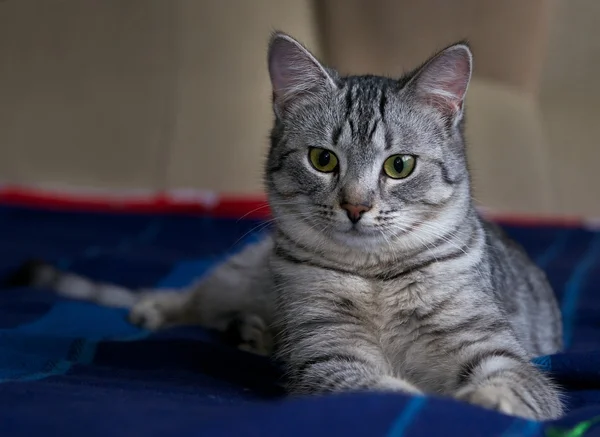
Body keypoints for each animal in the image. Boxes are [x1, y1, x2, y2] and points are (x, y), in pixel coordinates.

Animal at [8, 31, 564, 418]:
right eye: (322, 160)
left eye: (399, 166)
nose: (355, 206)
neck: (376, 276)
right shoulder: (326, 353)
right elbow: (380, 389)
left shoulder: (490, 345)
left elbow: (513, 384)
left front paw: (483, 402)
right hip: (238, 277)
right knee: (193, 297)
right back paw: (162, 309)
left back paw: (252, 335)